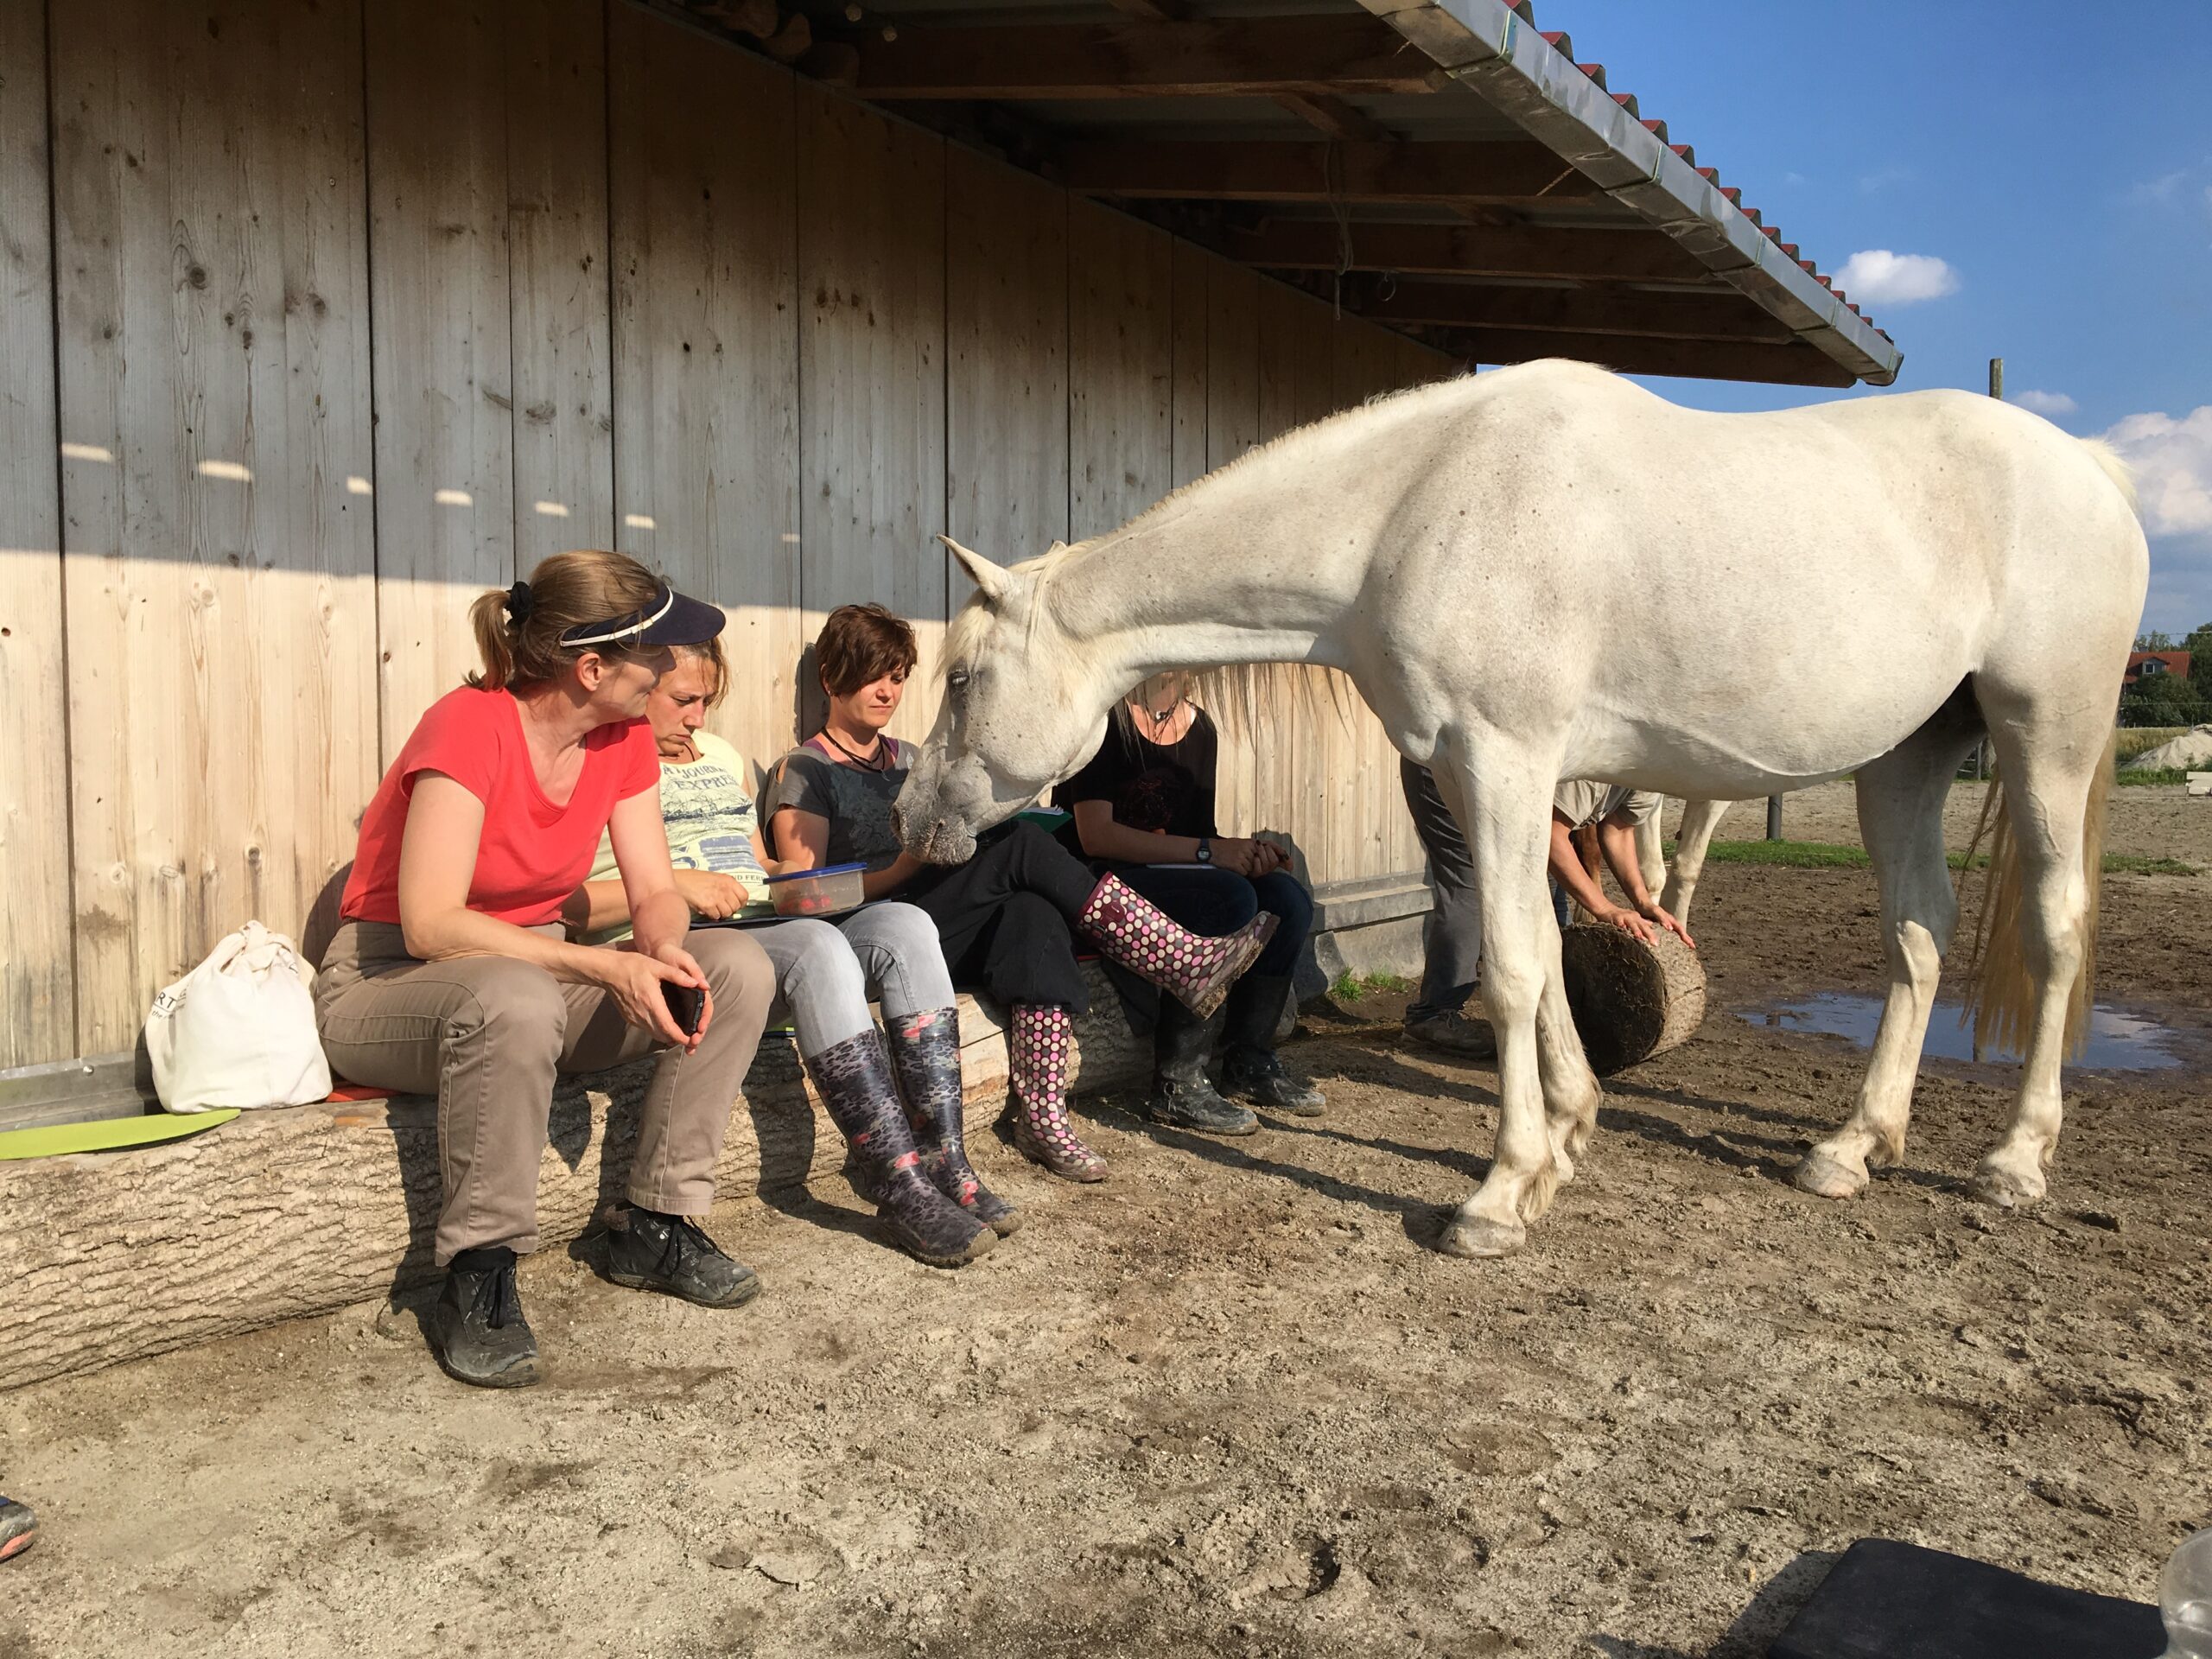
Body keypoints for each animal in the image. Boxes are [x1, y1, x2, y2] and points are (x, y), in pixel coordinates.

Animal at [895, 359, 2146, 1257]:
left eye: (963, 679)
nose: (914, 817)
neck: (1416, 508)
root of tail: (2092, 468)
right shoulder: (1475, 772)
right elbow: (1538, 947)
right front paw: (1567, 1133)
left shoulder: (1505, 760)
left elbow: (1504, 965)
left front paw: (1499, 1195)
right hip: (1904, 761)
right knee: (1919, 936)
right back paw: (1852, 1146)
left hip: (2049, 735)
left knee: (2056, 928)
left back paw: (2015, 1162)